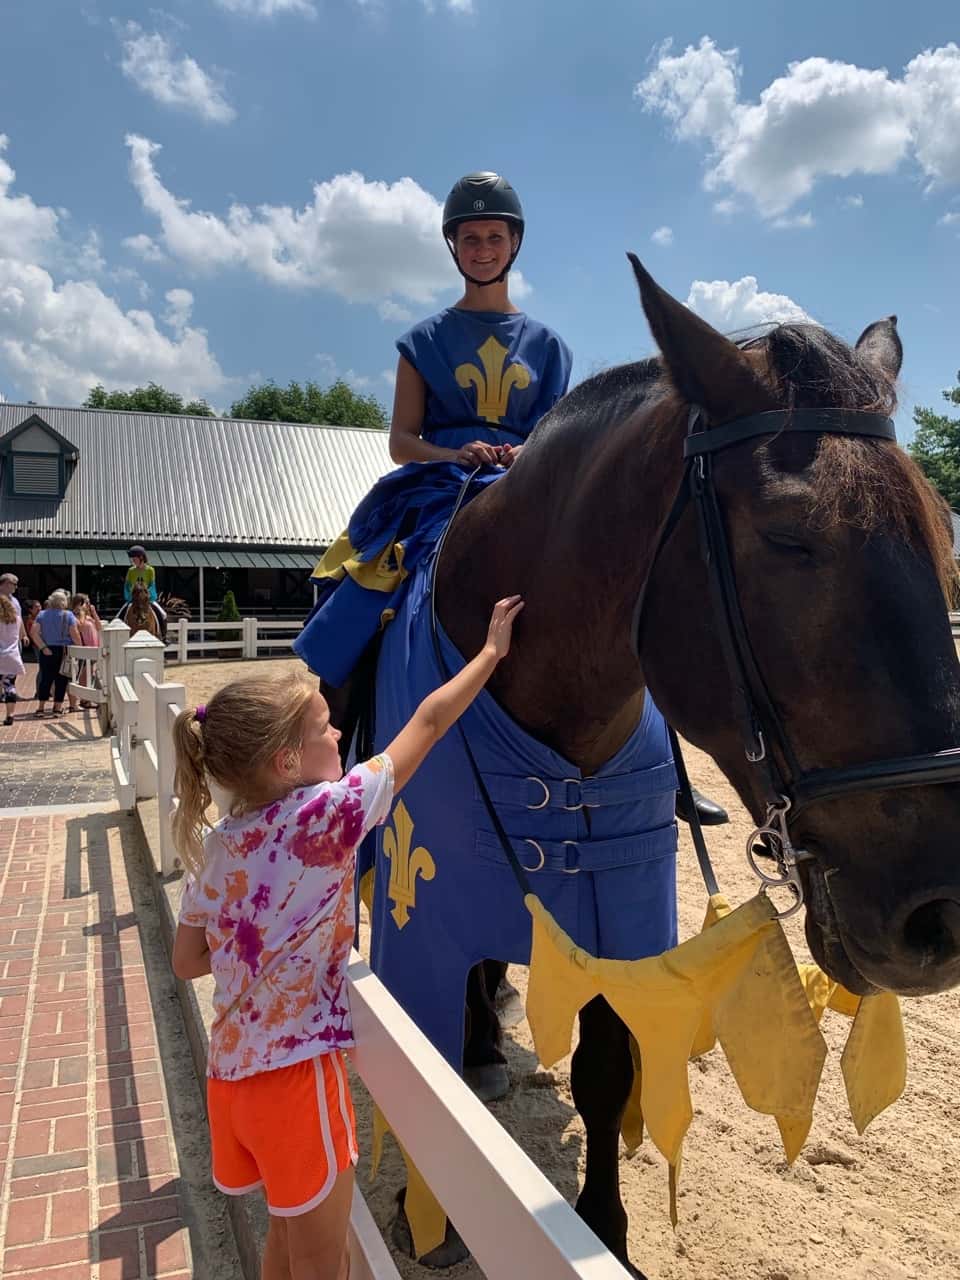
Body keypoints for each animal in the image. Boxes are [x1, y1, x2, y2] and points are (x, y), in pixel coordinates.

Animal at [358, 259, 960, 1278]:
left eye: (944, 537)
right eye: (790, 538)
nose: (942, 914)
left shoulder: (617, 913)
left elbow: (605, 1066)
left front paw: (603, 1227)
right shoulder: (421, 907)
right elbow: (427, 1050)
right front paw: (426, 1210)